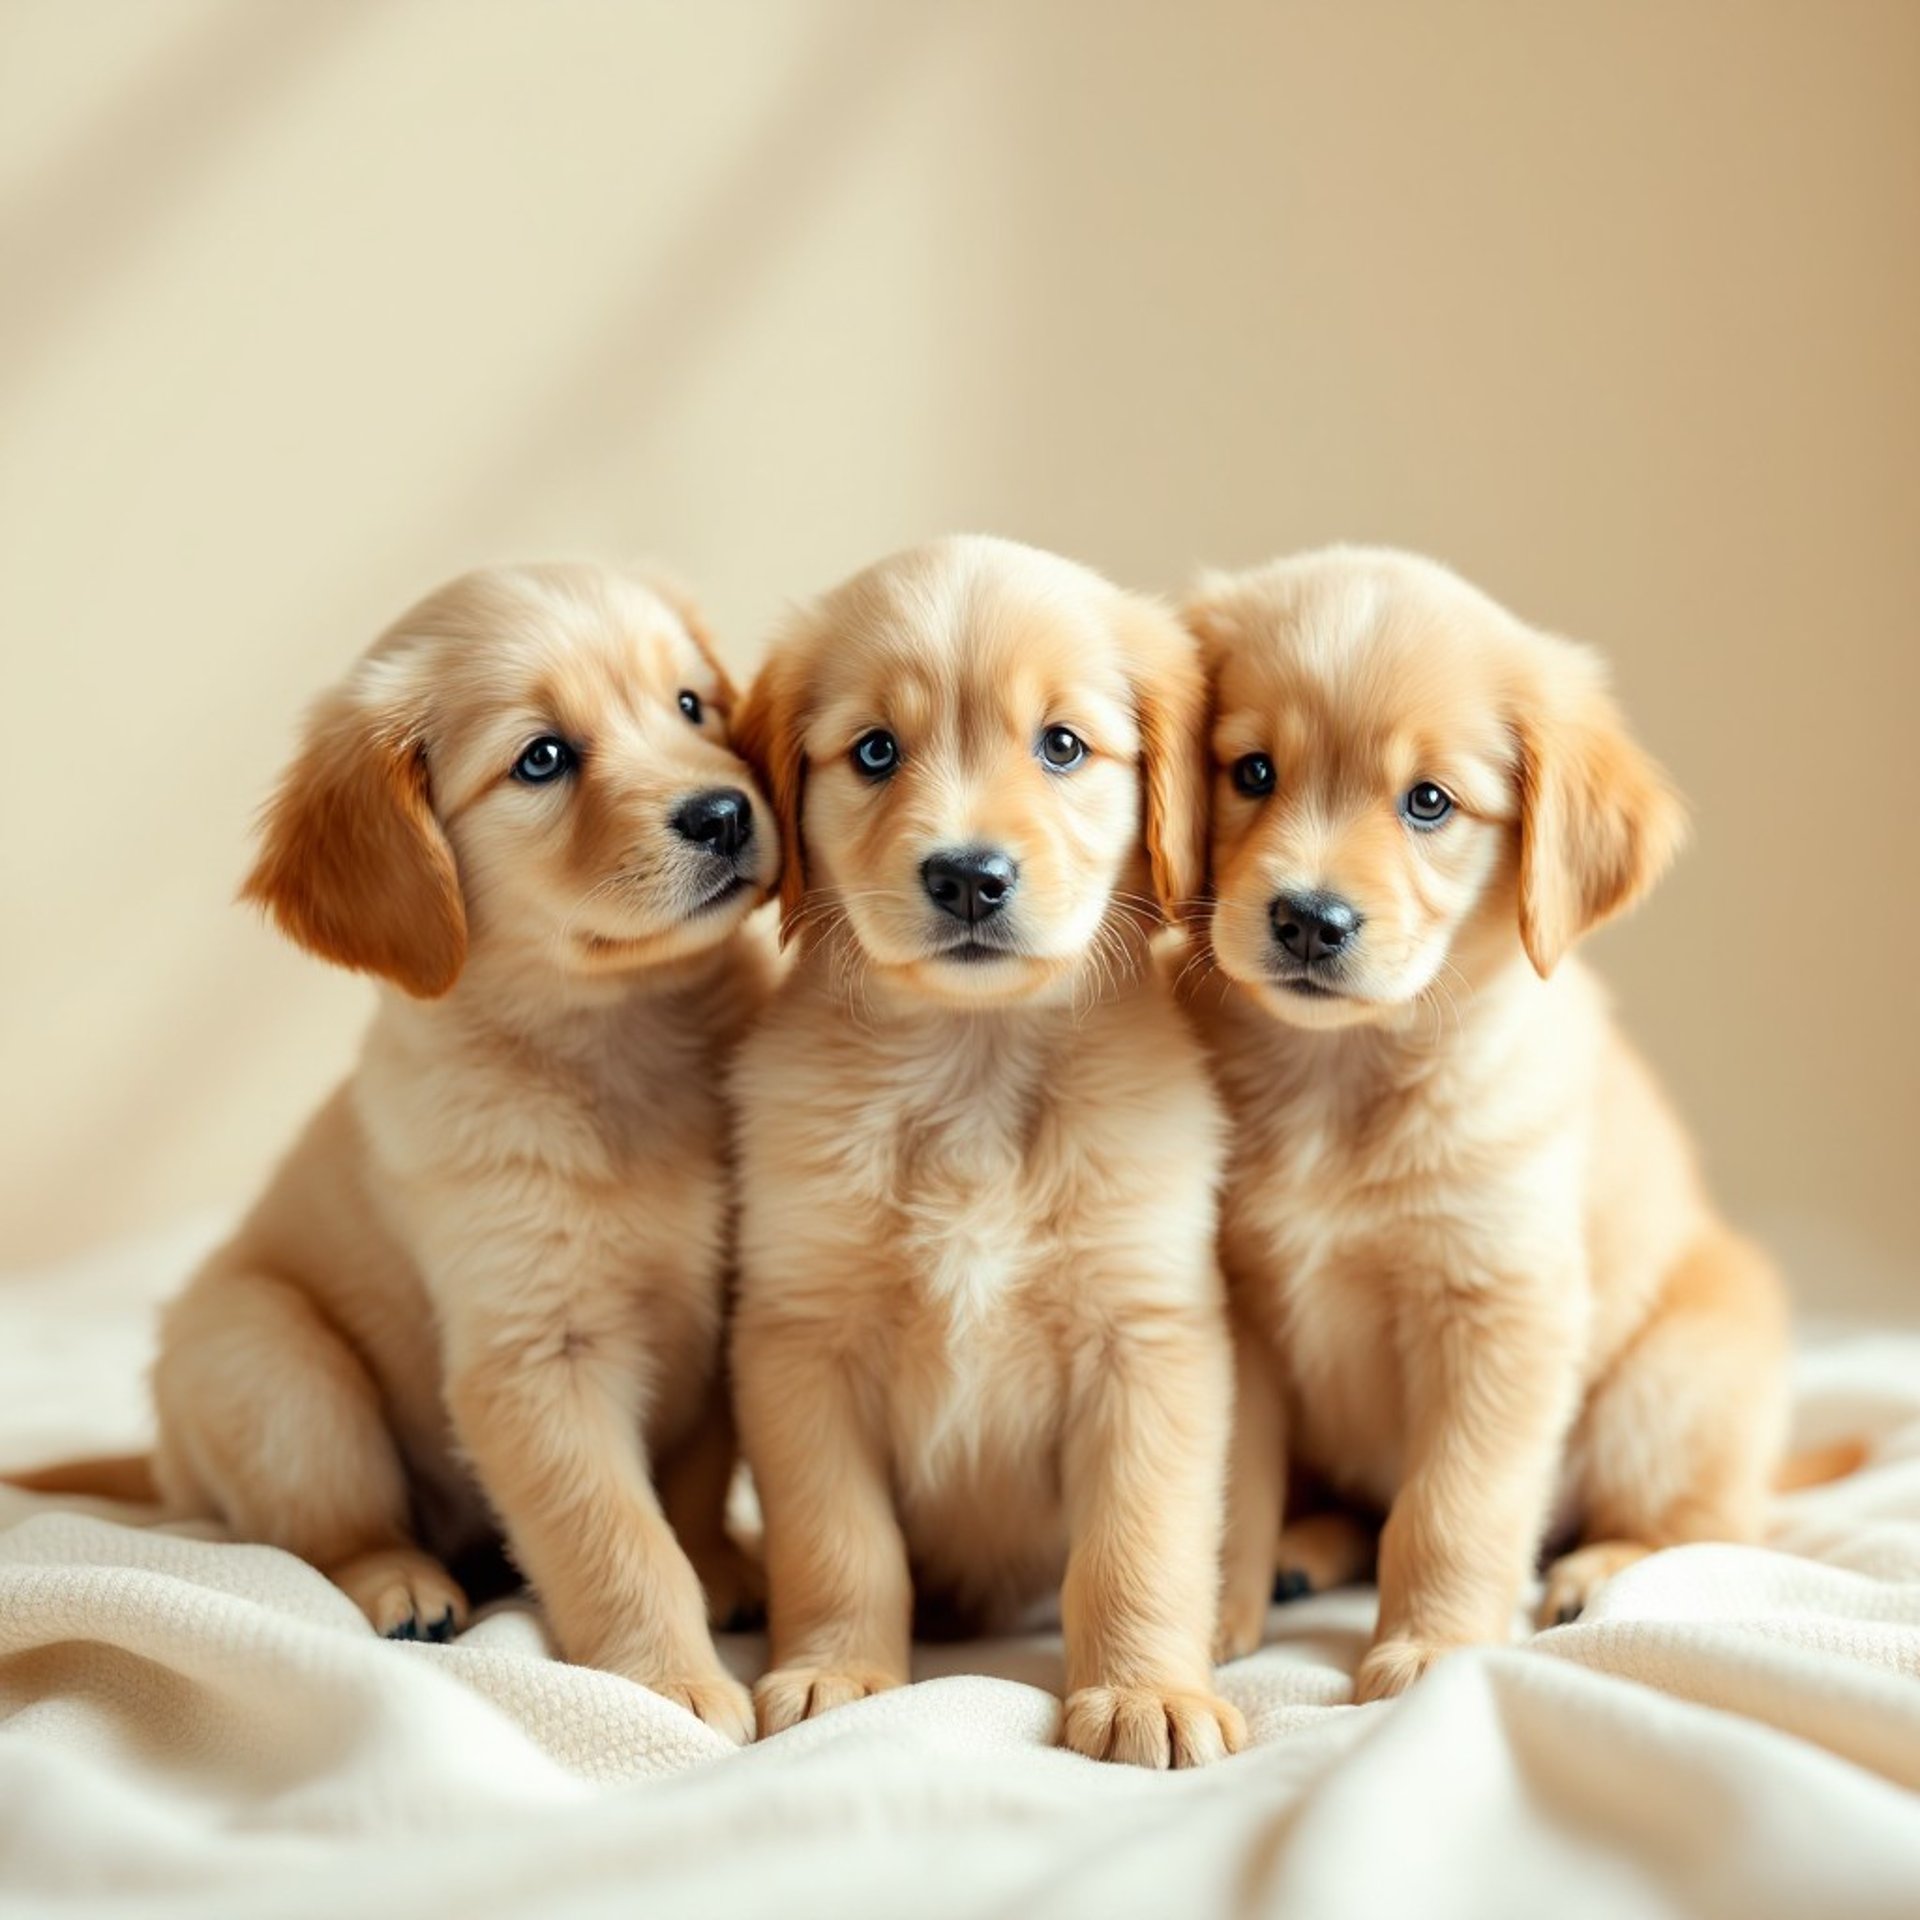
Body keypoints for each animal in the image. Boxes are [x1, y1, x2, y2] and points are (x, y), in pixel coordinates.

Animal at [9, 560, 771, 1743]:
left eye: (691, 704)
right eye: (542, 759)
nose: (728, 812)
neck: (622, 1042)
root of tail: (165, 1463)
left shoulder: (720, 1307)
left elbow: (685, 1487)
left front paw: (720, 1563)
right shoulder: (534, 1358)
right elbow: (618, 1535)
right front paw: (674, 1682)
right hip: (270, 1362)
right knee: (328, 1537)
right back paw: (405, 1586)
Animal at [721, 537, 1244, 1766]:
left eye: (1062, 744)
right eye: (875, 750)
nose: (968, 876)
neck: (974, 1061)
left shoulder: (1150, 1339)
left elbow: (1138, 1541)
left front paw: (1148, 1690)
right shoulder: (800, 1341)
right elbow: (838, 1538)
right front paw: (836, 1671)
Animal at [1182, 549, 1797, 1704]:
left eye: (1429, 802)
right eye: (1252, 772)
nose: (1308, 920)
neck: (1340, 1076)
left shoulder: (1501, 1310)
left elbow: (1453, 1506)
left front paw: (1431, 1645)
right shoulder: (1233, 1309)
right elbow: (1229, 1485)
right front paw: (1197, 1631)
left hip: (1671, 1383)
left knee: (1711, 1529)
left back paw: (1598, 1571)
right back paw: (1305, 1549)